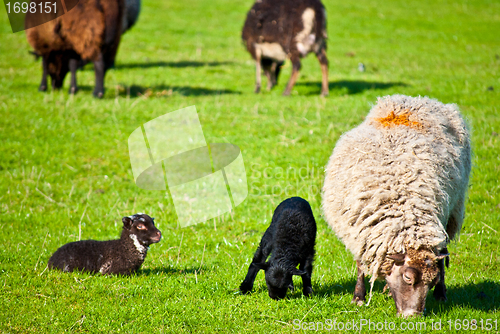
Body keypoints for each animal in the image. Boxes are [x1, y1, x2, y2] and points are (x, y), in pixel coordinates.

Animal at [322, 95, 470, 318]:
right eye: (408, 278)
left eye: (431, 282)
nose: (413, 316)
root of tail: (416, 100)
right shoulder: (359, 231)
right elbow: (360, 265)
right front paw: (358, 297)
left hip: (451, 212)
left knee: (442, 254)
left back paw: (441, 294)